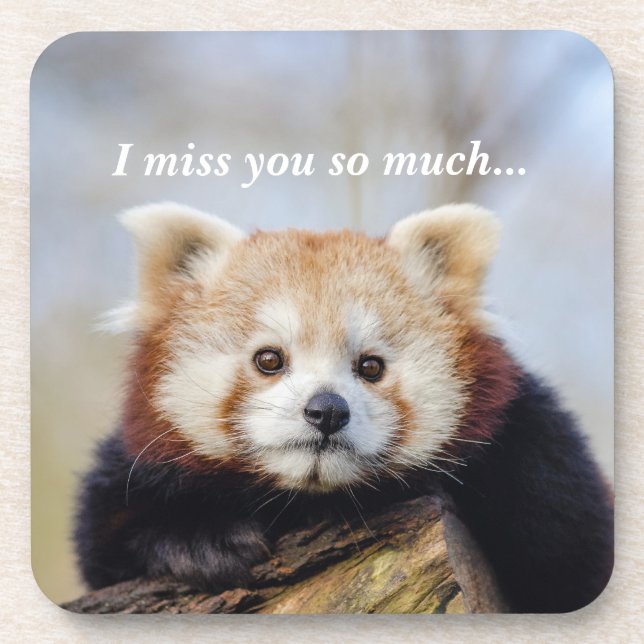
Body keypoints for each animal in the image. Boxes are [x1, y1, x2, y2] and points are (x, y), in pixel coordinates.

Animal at [74, 202, 614, 613]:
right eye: (269, 359)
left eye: (370, 366)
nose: (327, 411)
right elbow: (105, 534)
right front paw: (202, 539)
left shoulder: (540, 458)